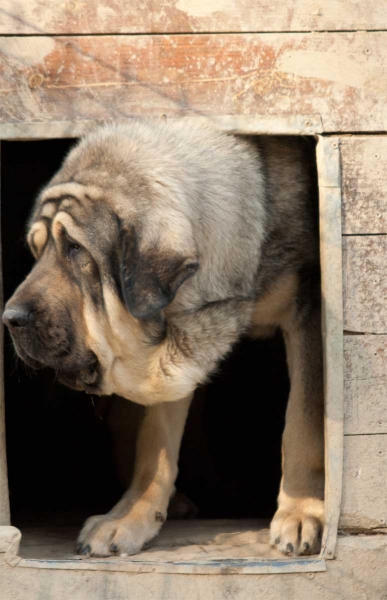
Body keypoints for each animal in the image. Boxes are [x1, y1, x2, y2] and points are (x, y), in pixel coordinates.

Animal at [2, 119, 324, 560]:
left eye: (75, 249)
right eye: (37, 251)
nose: (9, 319)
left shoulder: (308, 310)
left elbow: (304, 423)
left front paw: (302, 512)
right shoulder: (177, 342)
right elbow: (154, 444)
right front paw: (130, 516)